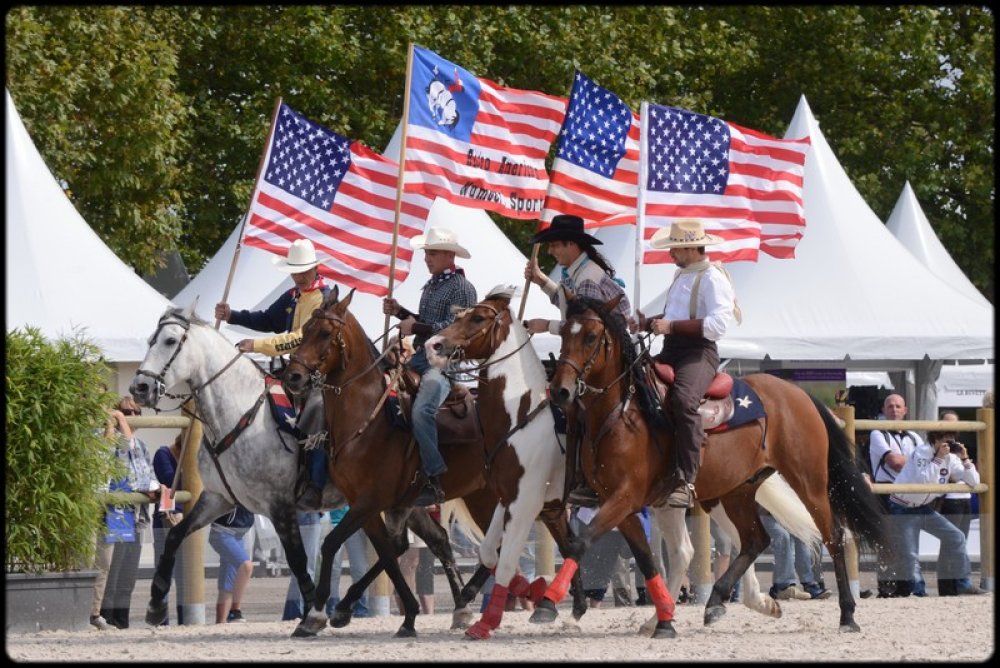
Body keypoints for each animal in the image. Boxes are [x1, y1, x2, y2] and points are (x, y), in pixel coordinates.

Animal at [130, 302, 484, 632]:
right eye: (149, 340)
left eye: (170, 340)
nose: (140, 388)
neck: (242, 415)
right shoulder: (219, 499)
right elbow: (175, 536)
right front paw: (155, 605)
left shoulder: (279, 506)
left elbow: (299, 560)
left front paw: (312, 610)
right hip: (403, 501)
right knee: (430, 540)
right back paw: (455, 607)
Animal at [282, 288, 500, 636]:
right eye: (304, 331)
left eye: (326, 333)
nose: (293, 376)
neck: (368, 420)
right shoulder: (366, 504)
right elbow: (387, 552)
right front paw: (404, 615)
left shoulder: (371, 500)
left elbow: (331, 544)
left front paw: (315, 615)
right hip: (479, 495)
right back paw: (465, 604)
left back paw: (469, 598)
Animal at [536, 290, 896, 632]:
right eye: (563, 332)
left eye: (591, 337)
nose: (560, 391)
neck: (623, 413)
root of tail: (798, 393)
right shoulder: (616, 502)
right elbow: (642, 557)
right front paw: (661, 617)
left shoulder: (625, 497)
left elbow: (580, 543)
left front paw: (547, 604)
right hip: (738, 490)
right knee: (754, 540)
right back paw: (717, 601)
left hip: (808, 481)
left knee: (833, 535)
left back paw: (847, 615)